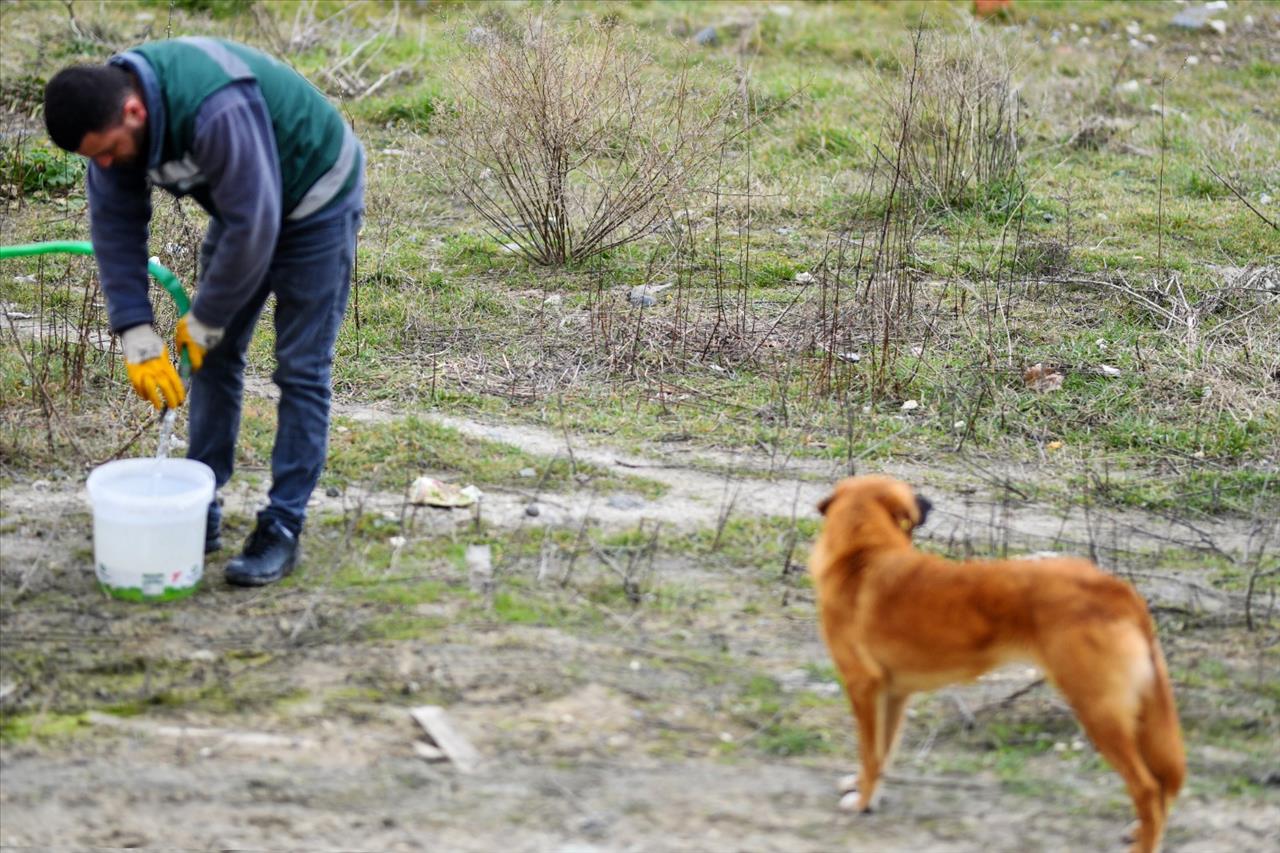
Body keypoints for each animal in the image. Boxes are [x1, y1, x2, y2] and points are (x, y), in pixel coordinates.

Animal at [814, 473, 1182, 845]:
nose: (931, 502)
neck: (862, 555)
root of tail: (1114, 588)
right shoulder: (893, 695)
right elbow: (882, 752)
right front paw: (868, 791)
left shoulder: (863, 687)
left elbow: (870, 753)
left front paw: (863, 802)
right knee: (1160, 788)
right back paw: (1139, 830)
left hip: (1098, 711)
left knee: (1148, 789)